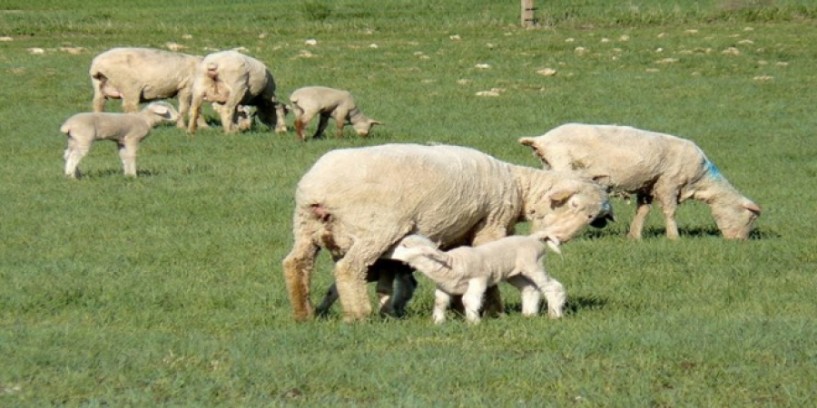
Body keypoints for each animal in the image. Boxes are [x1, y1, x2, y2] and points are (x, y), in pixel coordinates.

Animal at [392, 231, 564, 324]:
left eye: (404, 245)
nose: (390, 253)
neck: (451, 263)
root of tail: (533, 238)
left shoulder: (479, 279)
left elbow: (468, 300)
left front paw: (473, 321)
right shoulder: (444, 286)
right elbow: (440, 302)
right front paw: (438, 322)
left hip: (534, 264)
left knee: (552, 287)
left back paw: (555, 314)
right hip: (515, 274)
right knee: (529, 289)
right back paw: (529, 314)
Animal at [520, 122, 760, 241]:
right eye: (749, 218)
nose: (739, 241)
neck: (701, 182)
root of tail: (543, 139)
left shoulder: (648, 185)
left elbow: (642, 211)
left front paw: (634, 236)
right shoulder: (668, 183)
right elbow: (670, 212)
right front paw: (674, 237)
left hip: (550, 166)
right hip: (562, 166)